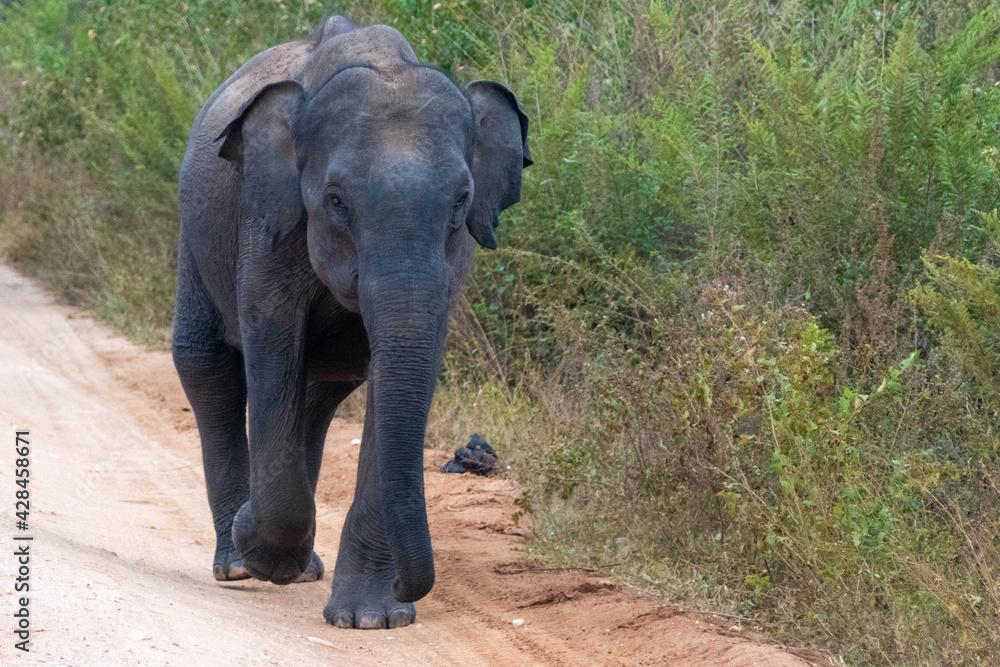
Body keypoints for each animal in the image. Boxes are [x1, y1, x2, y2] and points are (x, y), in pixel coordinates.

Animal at [172, 17, 532, 632]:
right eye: (336, 200)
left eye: (462, 201)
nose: (410, 587)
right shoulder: (266, 222)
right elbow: (273, 351)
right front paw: (254, 540)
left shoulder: (450, 268)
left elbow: (403, 372)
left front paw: (373, 619)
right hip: (195, 236)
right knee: (207, 365)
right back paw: (239, 564)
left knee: (321, 393)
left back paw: (301, 566)